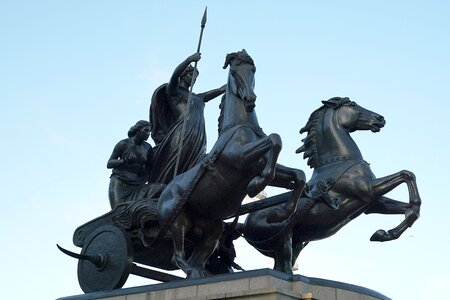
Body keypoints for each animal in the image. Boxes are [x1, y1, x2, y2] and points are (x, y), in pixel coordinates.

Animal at [156, 49, 306, 278]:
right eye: (234, 71)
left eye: (253, 69)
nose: (250, 99)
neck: (240, 127)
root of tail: (163, 193)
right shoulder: (241, 158)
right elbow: (274, 140)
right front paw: (256, 186)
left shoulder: (259, 165)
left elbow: (298, 175)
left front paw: (280, 213)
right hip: (177, 220)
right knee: (178, 256)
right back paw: (194, 272)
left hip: (212, 229)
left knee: (198, 258)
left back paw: (203, 274)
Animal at [241, 98, 420, 274]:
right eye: (352, 105)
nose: (380, 118)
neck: (339, 161)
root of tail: (244, 224)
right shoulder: (368, 190)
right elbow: (406, 175)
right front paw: (385, 232)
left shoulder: (372, 203)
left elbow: (408, 208)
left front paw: (384, 234)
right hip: (283, 240)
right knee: (284, 268)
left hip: (294, 243)